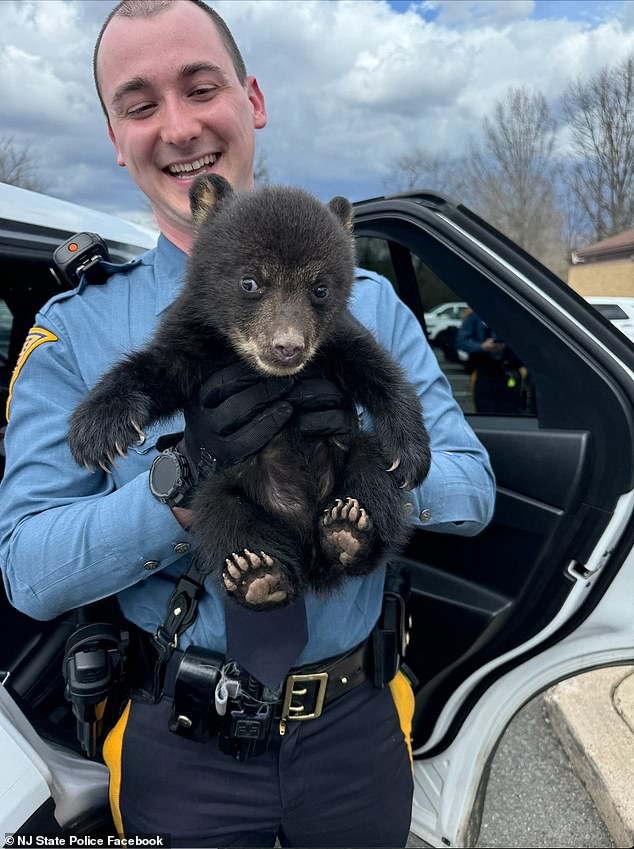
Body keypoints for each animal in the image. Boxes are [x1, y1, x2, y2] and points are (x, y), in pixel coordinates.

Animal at [68, 174, 431, 610]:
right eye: (250, 281)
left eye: (320, 288)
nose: (288, 347)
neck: (254, 366)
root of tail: (308, 548)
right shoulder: (196, 337)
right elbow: (157, 369)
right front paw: (96, 432)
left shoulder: (335, 340)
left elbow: (379, 370)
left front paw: (411, 455)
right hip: (224, 490)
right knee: (223, 519)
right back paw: (258, 576)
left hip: (355, 458)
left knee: (373, 481)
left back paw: (349, 531)